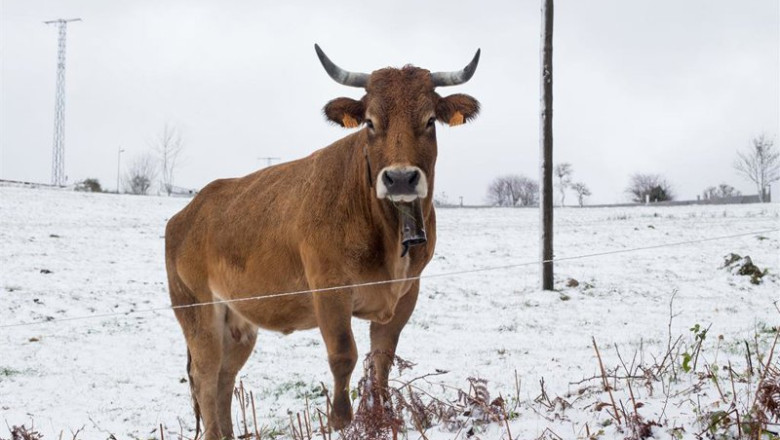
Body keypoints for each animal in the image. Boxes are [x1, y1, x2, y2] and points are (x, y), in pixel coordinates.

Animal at [165, 44, 480, 439]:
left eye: (429, 121)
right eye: (370, 122)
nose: (400, 179)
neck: (388, 233)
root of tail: (187, 212)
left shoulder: (407, 292)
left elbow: (382, 361)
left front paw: (382, 418)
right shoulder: (329, 290)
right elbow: (344, 355)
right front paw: (340, 421)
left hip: (238, 321)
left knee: (225, 376)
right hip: (198, 312)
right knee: (205, 376)